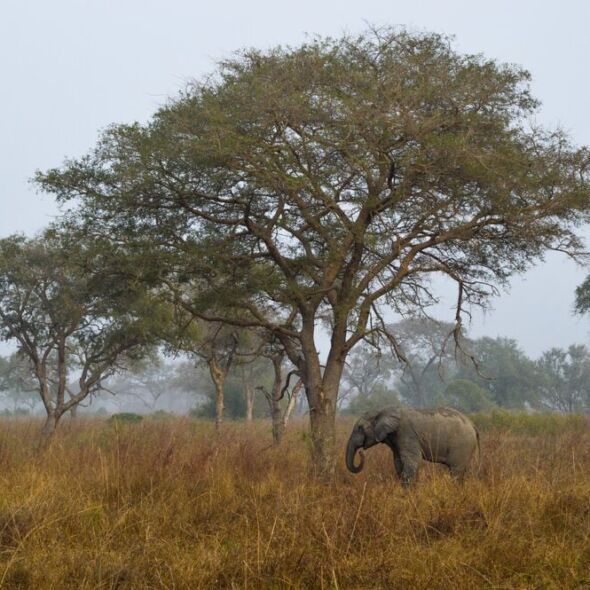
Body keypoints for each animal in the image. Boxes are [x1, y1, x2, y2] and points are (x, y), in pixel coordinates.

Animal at [346, 408, 480, 486]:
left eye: (360, 428)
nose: (361, 452)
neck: (383, 410)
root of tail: (473, 425)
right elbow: (398, 463)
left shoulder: (407, 433)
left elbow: (412, 461)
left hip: (462, 445)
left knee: (456, 471)